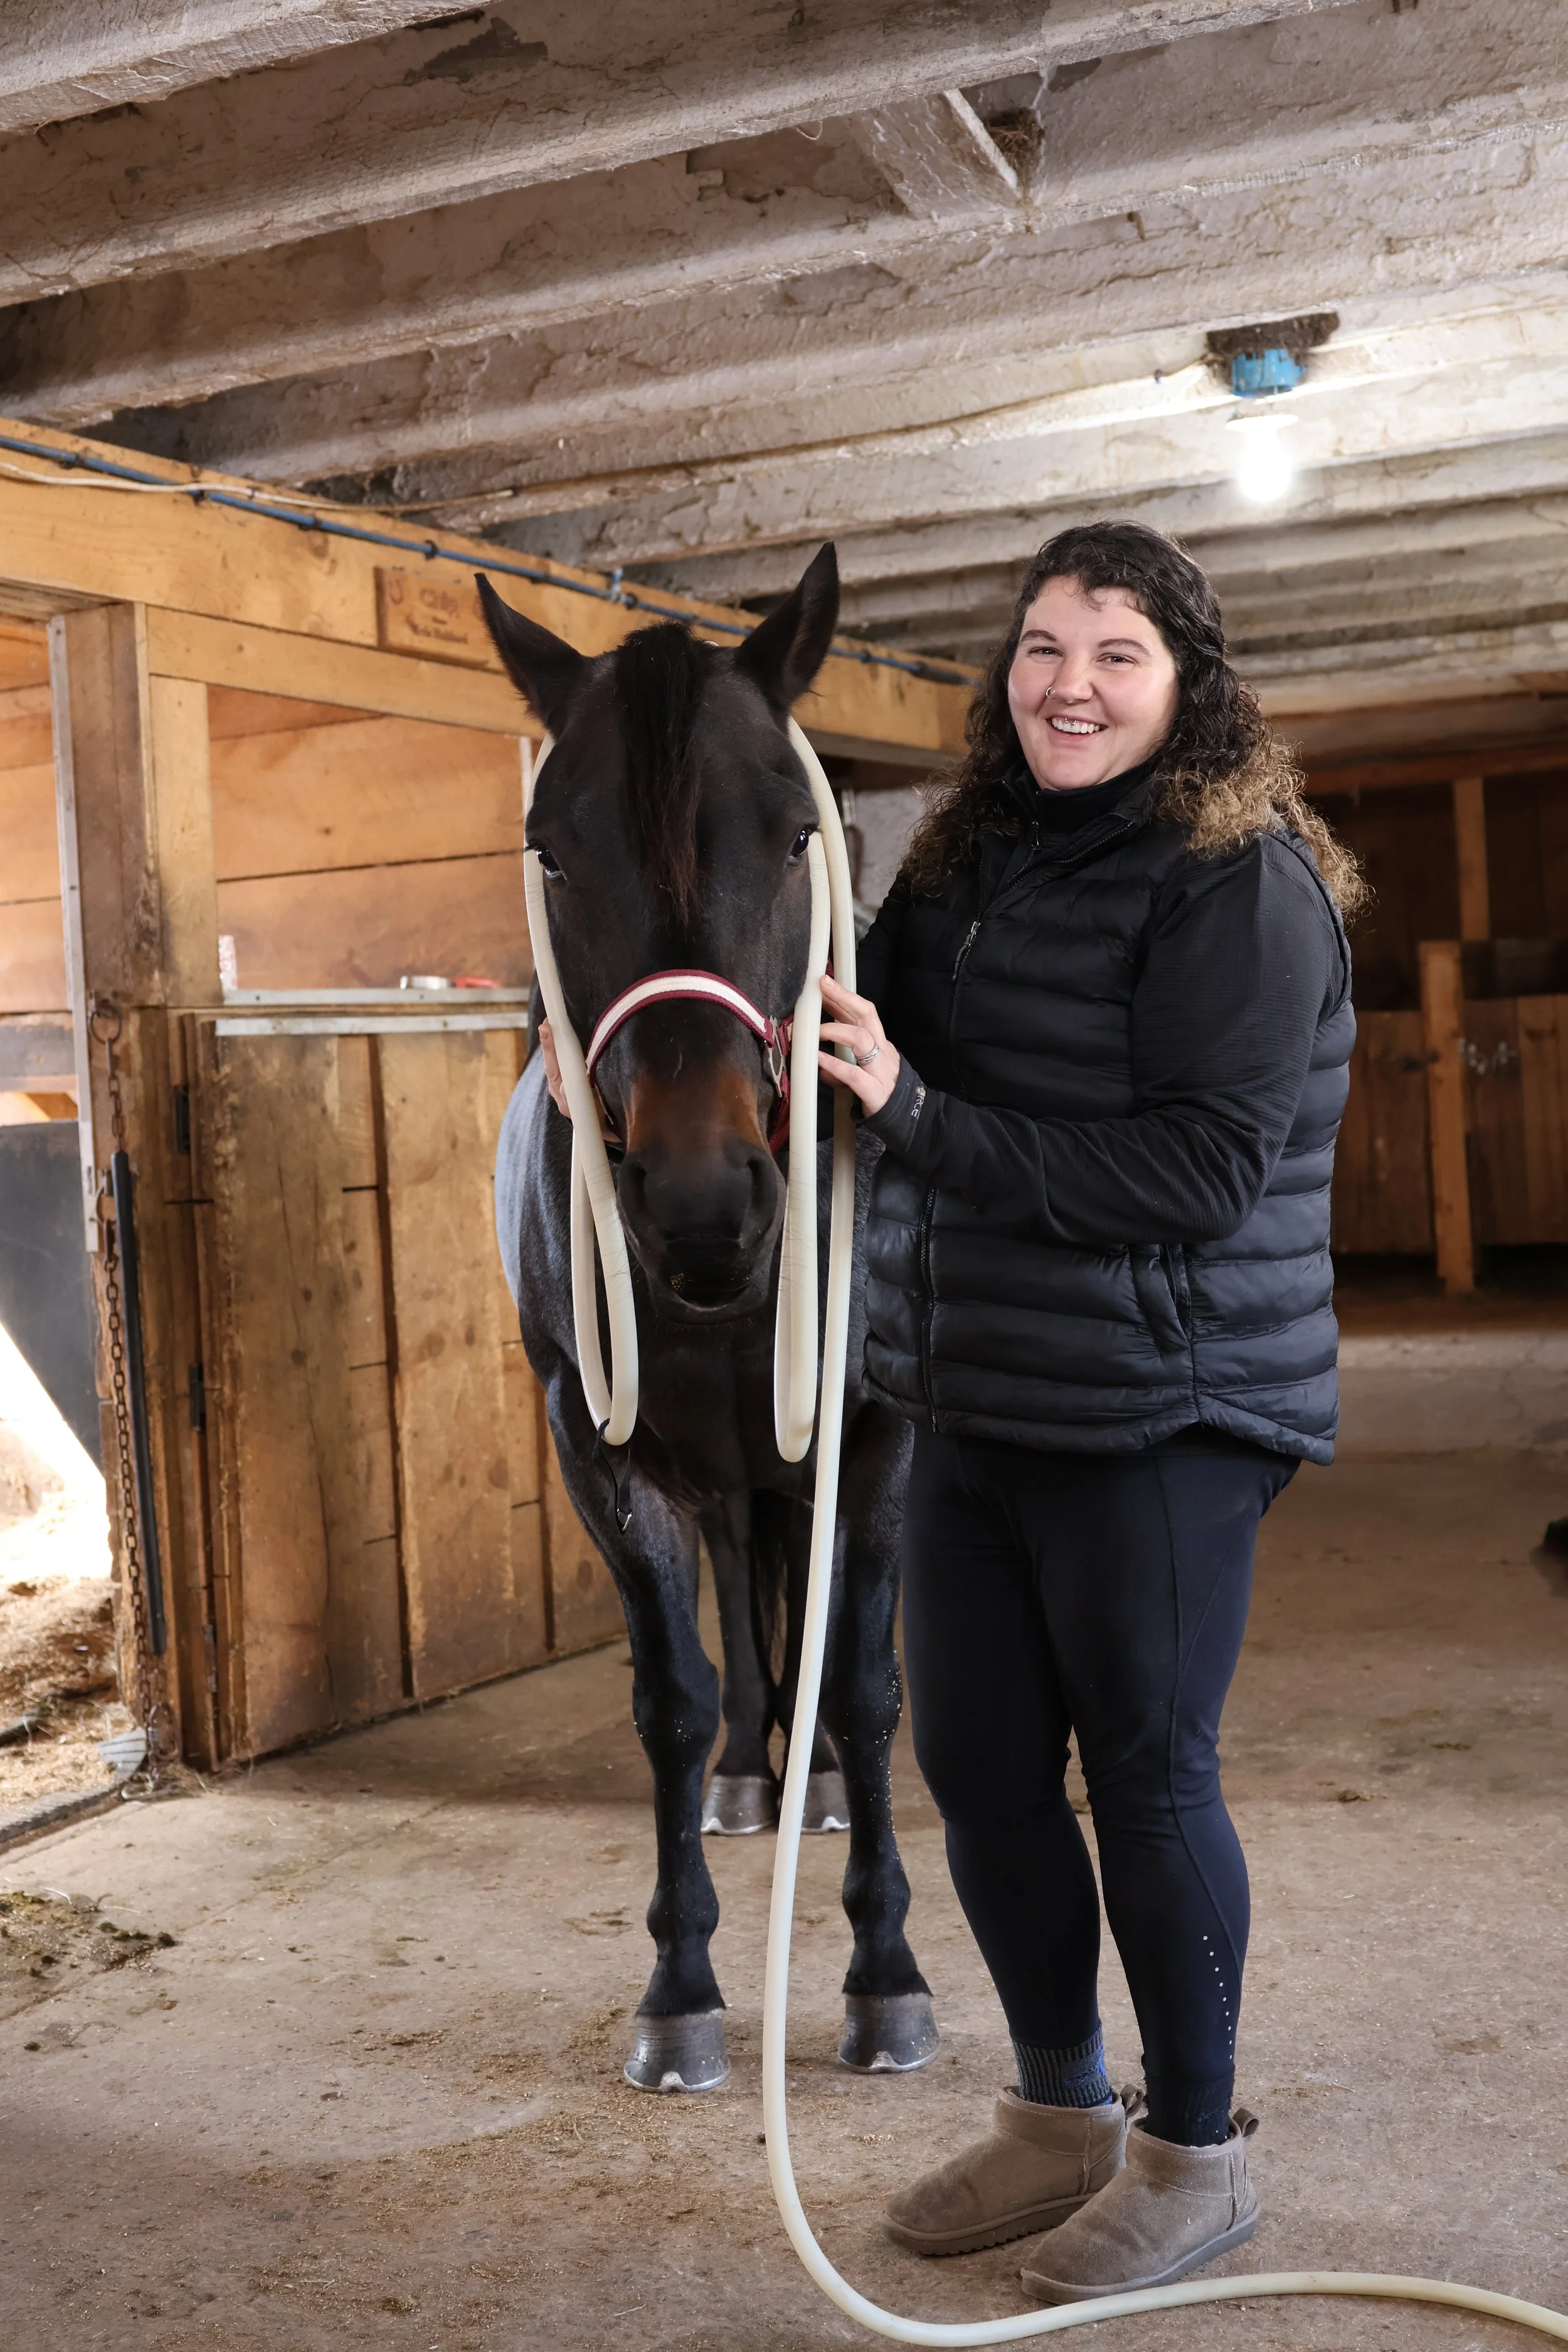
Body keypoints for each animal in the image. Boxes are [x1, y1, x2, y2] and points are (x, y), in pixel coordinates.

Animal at [483, 547, 936, 2093]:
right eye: (554, 852)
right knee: (743, 1589)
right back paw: (754, 1773)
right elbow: (672, 1696)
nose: (697, 1198)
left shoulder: (870, 1436)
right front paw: (679, 1991)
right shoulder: (597, 1445)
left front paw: (885, 1975)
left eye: (799, 835)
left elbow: (860, 1681)